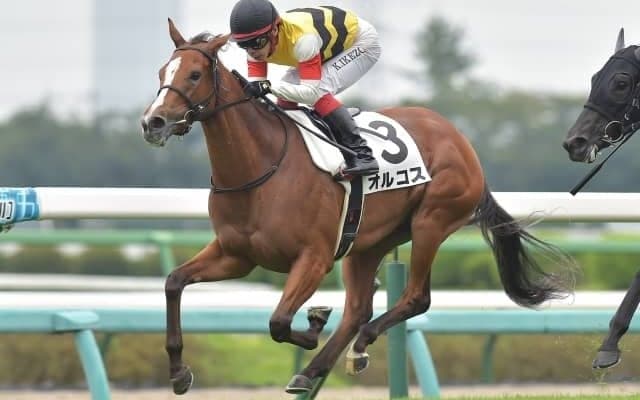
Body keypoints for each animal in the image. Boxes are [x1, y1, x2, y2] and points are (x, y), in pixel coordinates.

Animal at [142, 19, 574, 395]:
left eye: (194, 75)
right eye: (162, 72)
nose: (153, 122)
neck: (261, 168)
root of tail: (460, 141)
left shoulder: (314, 258)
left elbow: (279, 322)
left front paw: (313, 324)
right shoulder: (237, 255)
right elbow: (173, 282)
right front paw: (178, 372)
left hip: (431, 221)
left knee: (414, 298)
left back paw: (355, 346)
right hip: (367, 244)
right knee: (358, 308)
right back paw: (316, 368)